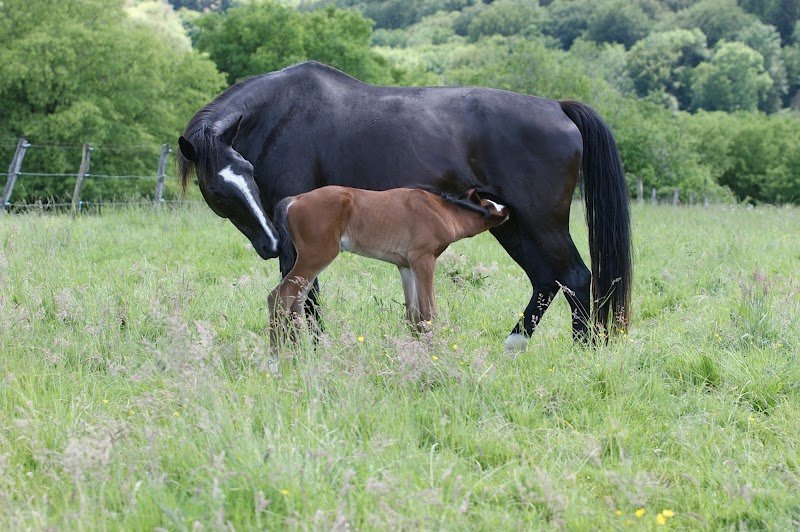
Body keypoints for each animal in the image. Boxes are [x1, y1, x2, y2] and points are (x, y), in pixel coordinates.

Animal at [267, 186, 509, 349]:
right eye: (488, 204)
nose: (507, 208)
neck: (442, 211)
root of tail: (295, 200)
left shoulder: (406, 267)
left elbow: (413, 314)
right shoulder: (424, 260)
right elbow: (428, 311)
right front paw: (433, 351)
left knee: (296, 302)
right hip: (316, 257)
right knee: (279, 296)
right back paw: (280, 357)